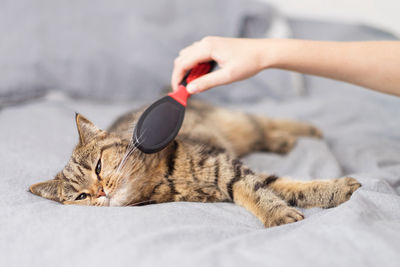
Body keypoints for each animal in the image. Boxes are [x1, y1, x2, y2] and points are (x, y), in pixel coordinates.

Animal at [29, 100, 360, 228]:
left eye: (98, 167)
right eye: (81, 197)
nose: (99, 193)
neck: (162, 180)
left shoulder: (228, 167)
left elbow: (260, 192)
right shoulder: (230, 176)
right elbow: (281, 187)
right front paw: (335, 192)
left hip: (239, 125)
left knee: (264, 122)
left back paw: (307, 131)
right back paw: (283, 142)